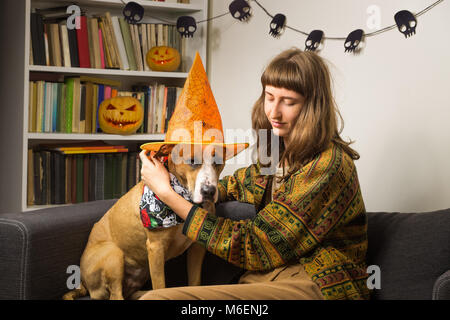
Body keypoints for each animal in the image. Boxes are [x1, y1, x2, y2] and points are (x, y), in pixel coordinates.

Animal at [62, 145, 229, 300]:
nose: (209, 191)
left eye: (218, 162)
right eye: (192, 161)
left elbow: (195, 282)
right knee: (116, 295)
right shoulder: (156, 248)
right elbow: (160, 287)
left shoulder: (196, 248)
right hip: (113, 253)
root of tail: (83, 283)